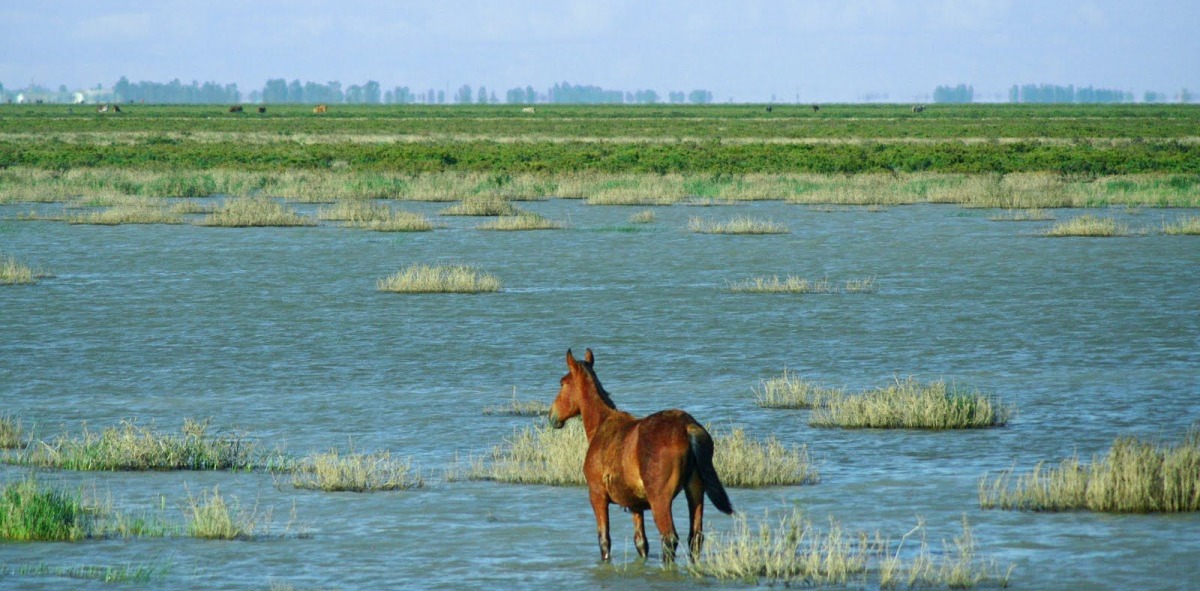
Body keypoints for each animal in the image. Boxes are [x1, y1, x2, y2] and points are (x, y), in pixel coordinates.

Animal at [549, 349, 733, 563]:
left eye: (562, 383)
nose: (552, 415)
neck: (602, 426)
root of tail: (688, 427)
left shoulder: (597, 495)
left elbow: (604, 540)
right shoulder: (635, 505)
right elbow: (641, 543)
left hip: (660, 500)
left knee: (669, 538)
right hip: (695, 491)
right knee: (694, 538)